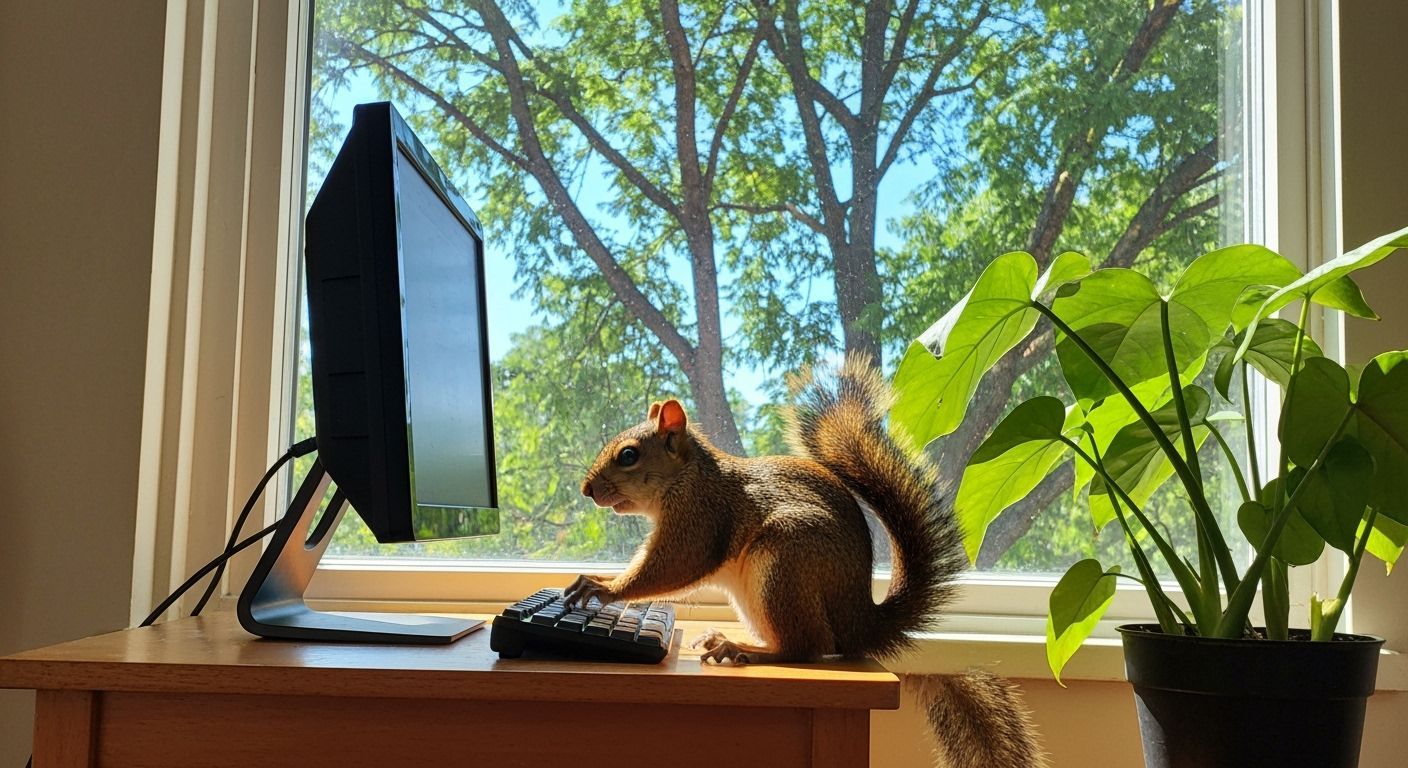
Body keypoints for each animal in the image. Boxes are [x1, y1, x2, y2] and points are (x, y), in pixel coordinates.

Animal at [565, 353, 1046, 768]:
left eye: (628, 455)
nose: (587, 490)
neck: (688, 476)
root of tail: (860, 619)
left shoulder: (700, 518)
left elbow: (673, 565)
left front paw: (603, 587)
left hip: (785, 562)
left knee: (808, 647)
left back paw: (742, 650)